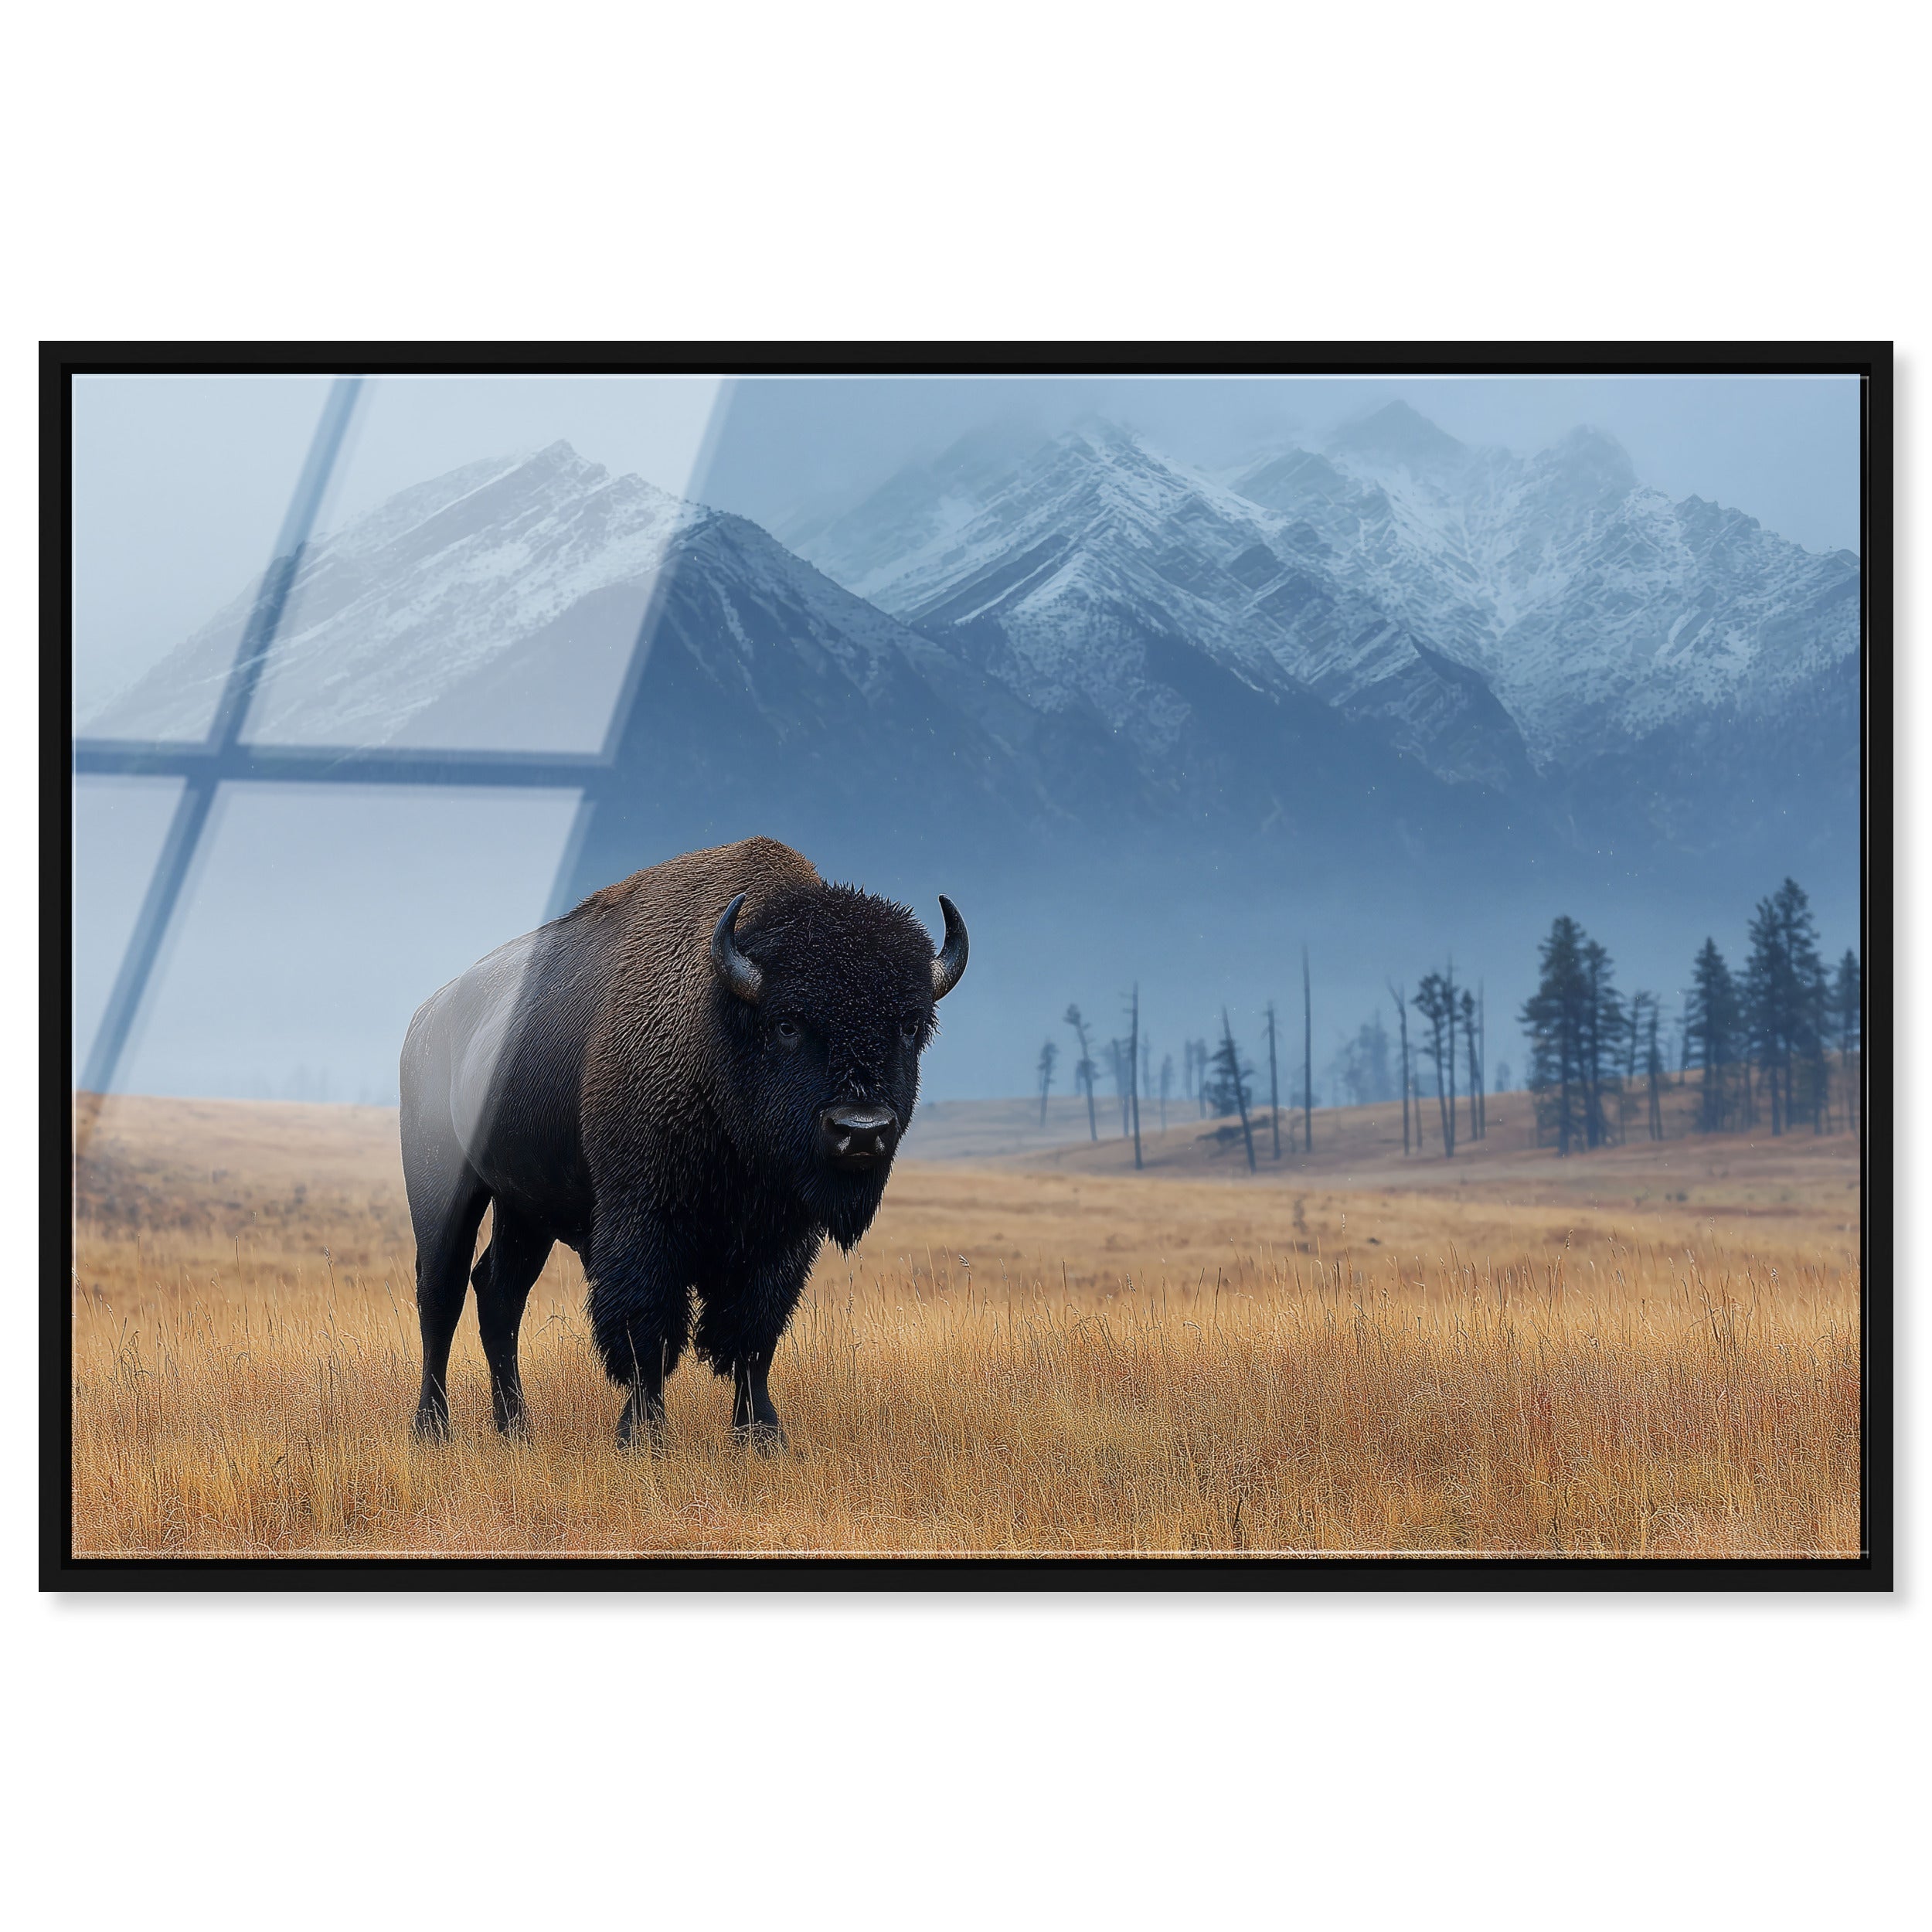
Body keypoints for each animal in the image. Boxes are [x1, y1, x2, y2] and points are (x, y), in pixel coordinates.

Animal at [399, 836, 966, 1451]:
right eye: (787, 1024)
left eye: (910, 1026)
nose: (861, 1130)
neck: (719, 1022)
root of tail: (425, 1020)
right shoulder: (644, 1221)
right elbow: (647, 1331)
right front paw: (642, 1436)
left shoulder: (782, 1237)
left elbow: (754, 1334)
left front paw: (762, 1435)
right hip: (444, 1192)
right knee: (442, 1294)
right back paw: (432, 1429)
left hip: (524, 1208)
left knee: (499, 1292)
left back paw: (516, 1429)